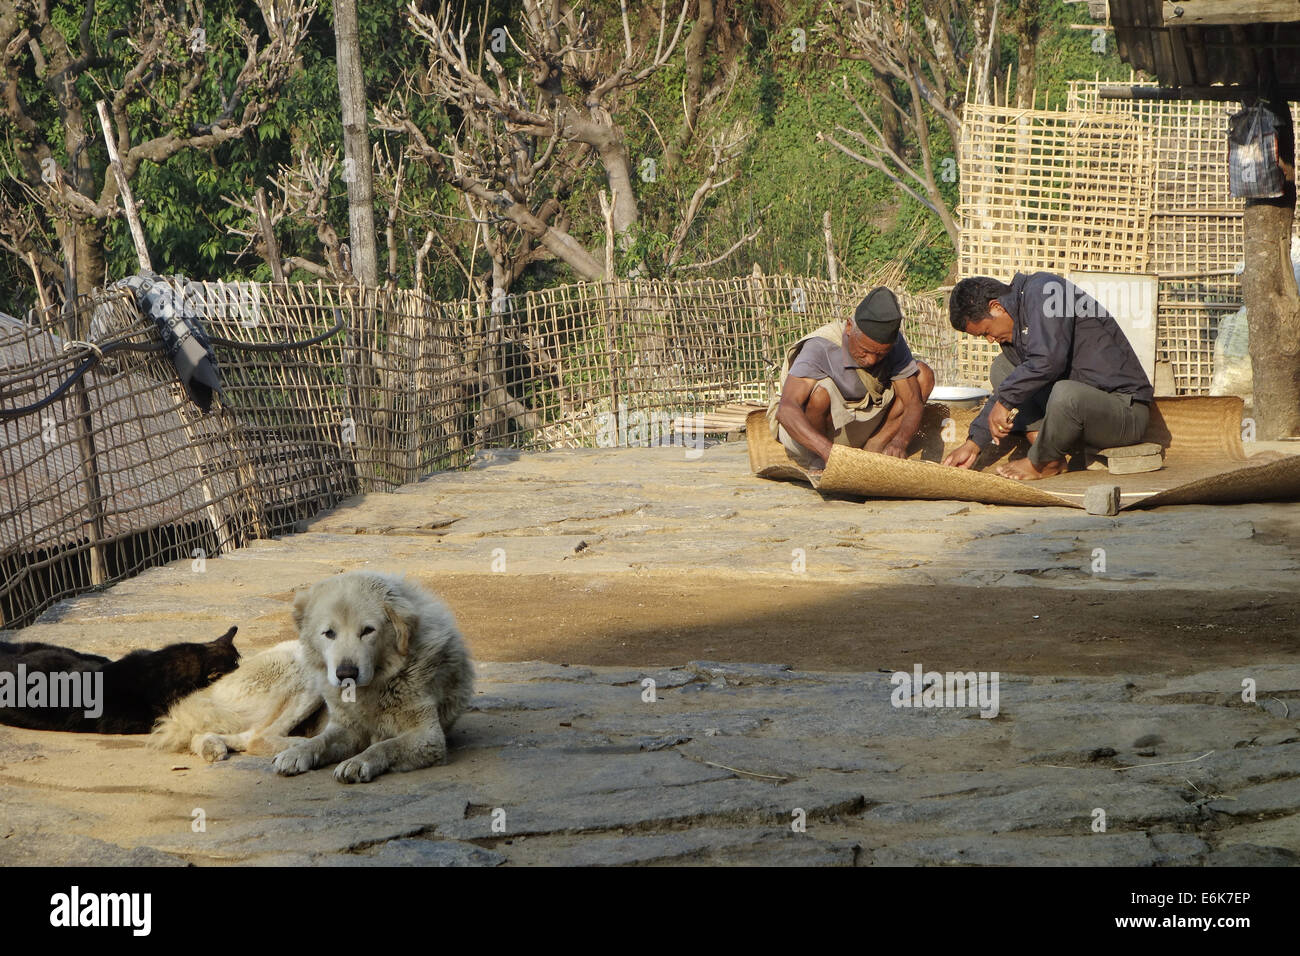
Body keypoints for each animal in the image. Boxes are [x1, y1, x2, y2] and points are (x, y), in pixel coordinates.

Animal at [152, 572, 475, 780]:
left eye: (368, 631)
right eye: (329, 633)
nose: (346, 673)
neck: (375, 687)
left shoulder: (428, 737)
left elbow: (385, 745)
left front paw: (358, 762)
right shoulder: (345, 728)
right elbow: (321, 742)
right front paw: (301, 753)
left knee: (240, 736)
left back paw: (214, 746)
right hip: (304, 677)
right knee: (258, 737)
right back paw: (291, 744)